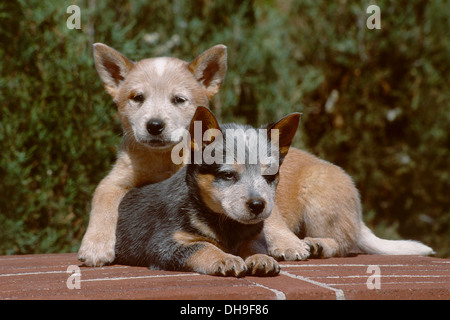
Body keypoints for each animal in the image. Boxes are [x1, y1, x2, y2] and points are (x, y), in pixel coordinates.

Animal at [114, 106, 300, 276]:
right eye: (228, 175)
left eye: (269, 175)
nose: (257, 205)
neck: (228, 226)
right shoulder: (163, 244)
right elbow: (204, 246)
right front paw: (226, 258)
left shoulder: (253, 236)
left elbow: (255, 245)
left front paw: (261, 257)